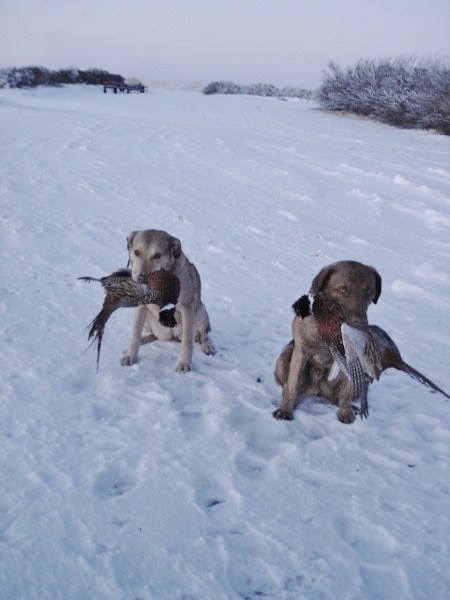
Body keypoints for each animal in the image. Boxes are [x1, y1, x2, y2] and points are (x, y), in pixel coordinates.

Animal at [122, 229, 215, 370]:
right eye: (136, 252)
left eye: (157, 255)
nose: (142, 278)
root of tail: (173, 335)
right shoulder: (141, 305)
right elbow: (135, 333)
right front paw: (131, 355)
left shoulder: (187, 307)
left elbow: (188, 342)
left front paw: (184, 363)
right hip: (149, 320)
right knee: (155, 336)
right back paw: (144, 339)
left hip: (200, 312)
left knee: (203, 335)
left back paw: (207, 346)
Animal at [272, 260, 382, 424]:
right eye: (342, 289)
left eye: (369, 291)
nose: (360, 323)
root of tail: (317, 391)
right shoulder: (300, 352)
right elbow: (292, 385)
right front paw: (286, 409)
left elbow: (346, 392)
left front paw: (346, 412)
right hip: (286, 355)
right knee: (288, 384)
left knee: (340, 396)